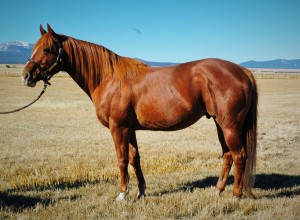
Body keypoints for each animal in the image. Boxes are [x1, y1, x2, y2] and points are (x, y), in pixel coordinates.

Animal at [22, 24, 256, 201]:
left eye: (47, 49)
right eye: (35, 47)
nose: (26, 76)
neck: (109, 78)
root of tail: (241, 70)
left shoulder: (118, 128)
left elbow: (122, 159)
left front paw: (122, 194)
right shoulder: (130, 129)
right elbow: (135, 159)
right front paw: (140, 192)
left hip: (229, 125)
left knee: (239, 155)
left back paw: (236, 195)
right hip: (219, 123)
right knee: (227, 155)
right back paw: (218, 190)